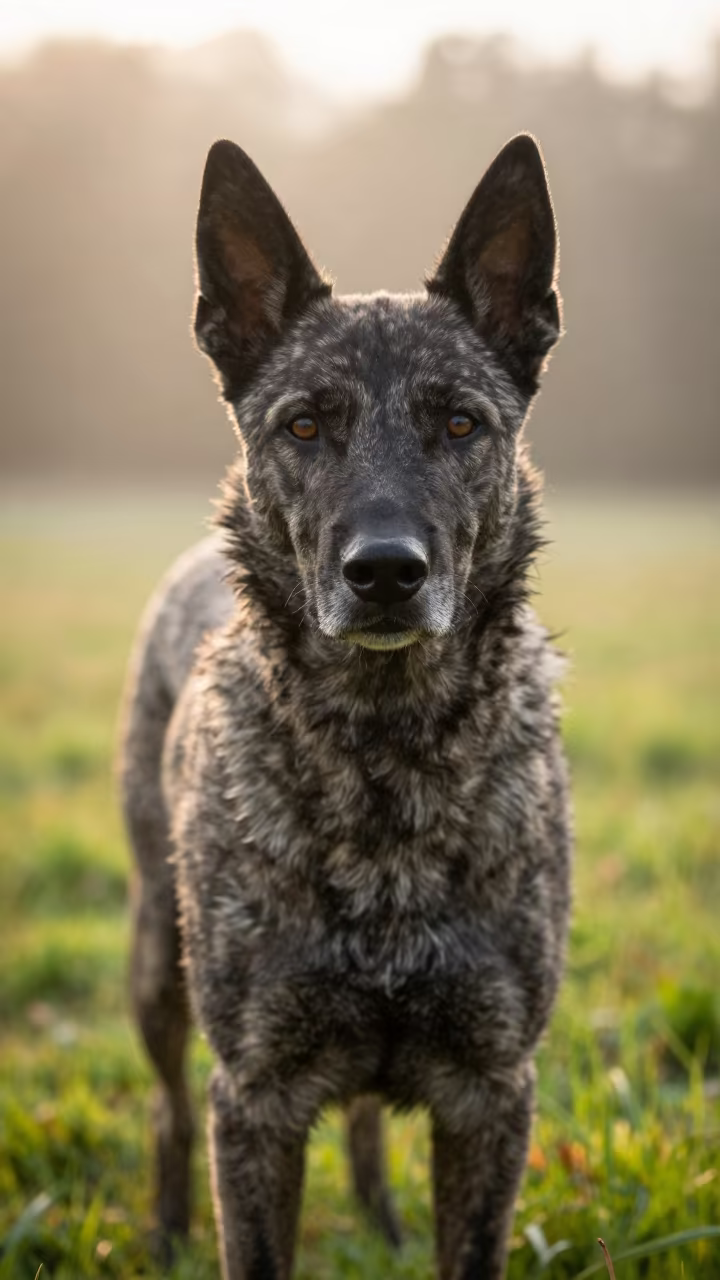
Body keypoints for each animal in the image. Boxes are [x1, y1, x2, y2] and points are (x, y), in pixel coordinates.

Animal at [119, 132, 571, 1280]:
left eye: (460, 421)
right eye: (305, 423)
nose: (385, 573)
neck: (385, 757)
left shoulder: (491, 1094)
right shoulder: (256, 1099)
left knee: (365, 1115)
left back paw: (379, 1214)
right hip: (155, 958)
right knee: (168, 1109)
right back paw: (164, 1226)